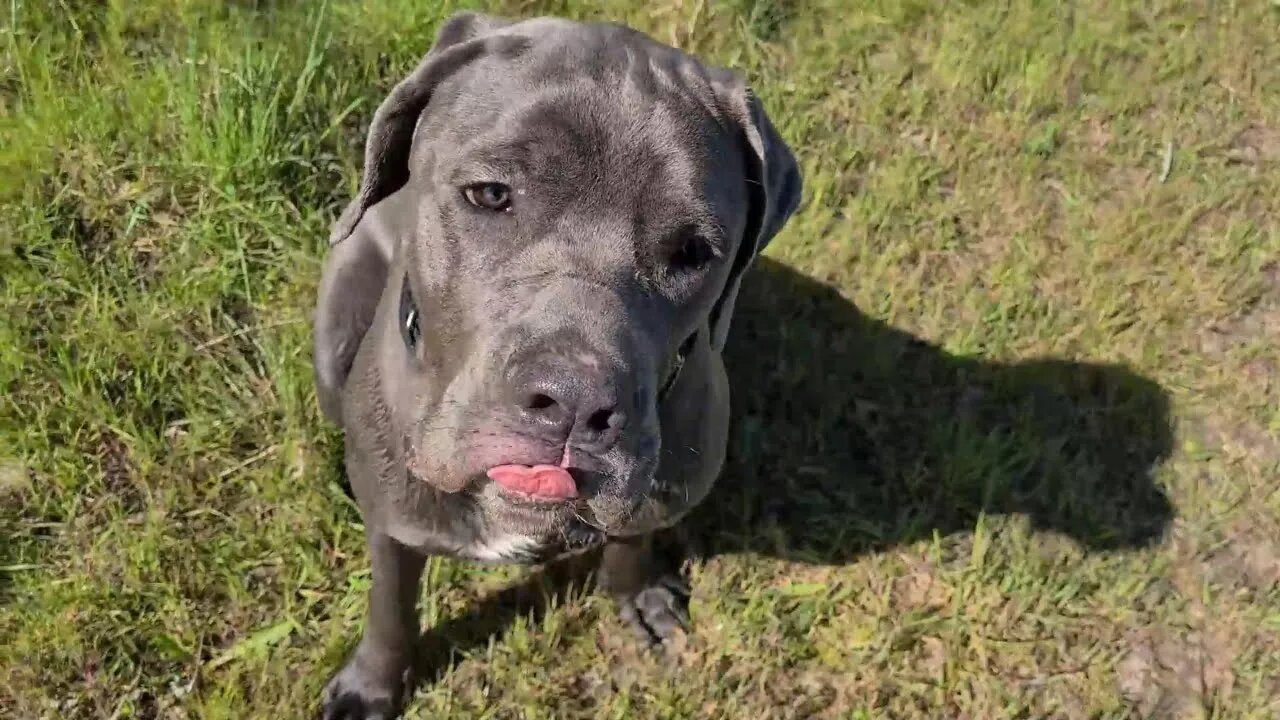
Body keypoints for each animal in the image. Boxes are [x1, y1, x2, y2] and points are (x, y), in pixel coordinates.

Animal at [311, 12, 798, 717]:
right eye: (490, 194)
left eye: (693, 251)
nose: (574, 402)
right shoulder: (395, 526)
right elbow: (390, 606)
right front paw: (370, 685)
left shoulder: (653, 501)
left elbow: (629, 543)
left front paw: (639, 595)